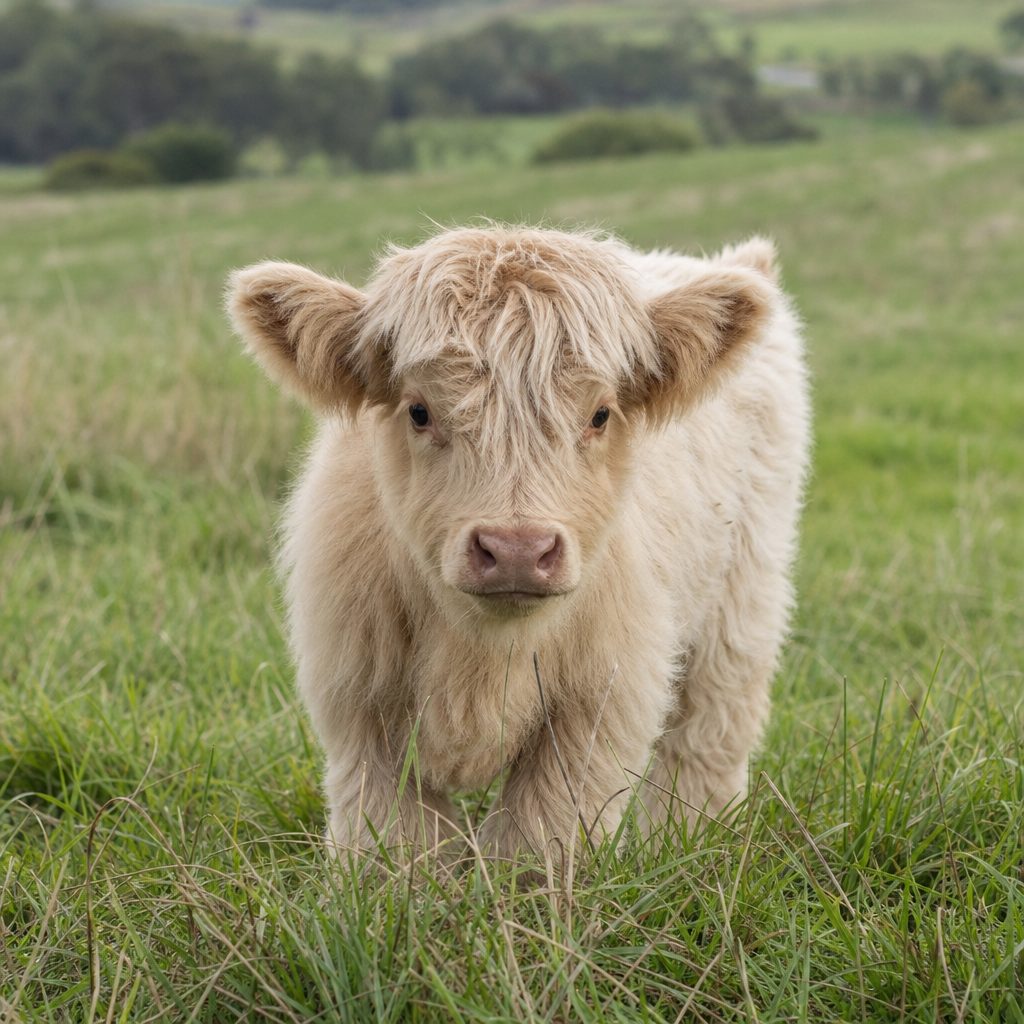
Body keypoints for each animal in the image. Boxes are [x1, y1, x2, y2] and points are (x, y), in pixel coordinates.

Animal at [227, 225, 810, 862]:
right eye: (419, 411)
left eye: (600, 414)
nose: (516, 551)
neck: (482, 654)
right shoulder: (360, 697)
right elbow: (394, 838)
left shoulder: (601, 700)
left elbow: (537, 837)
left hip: (743, 600)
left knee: (707, 739)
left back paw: (690, 844)